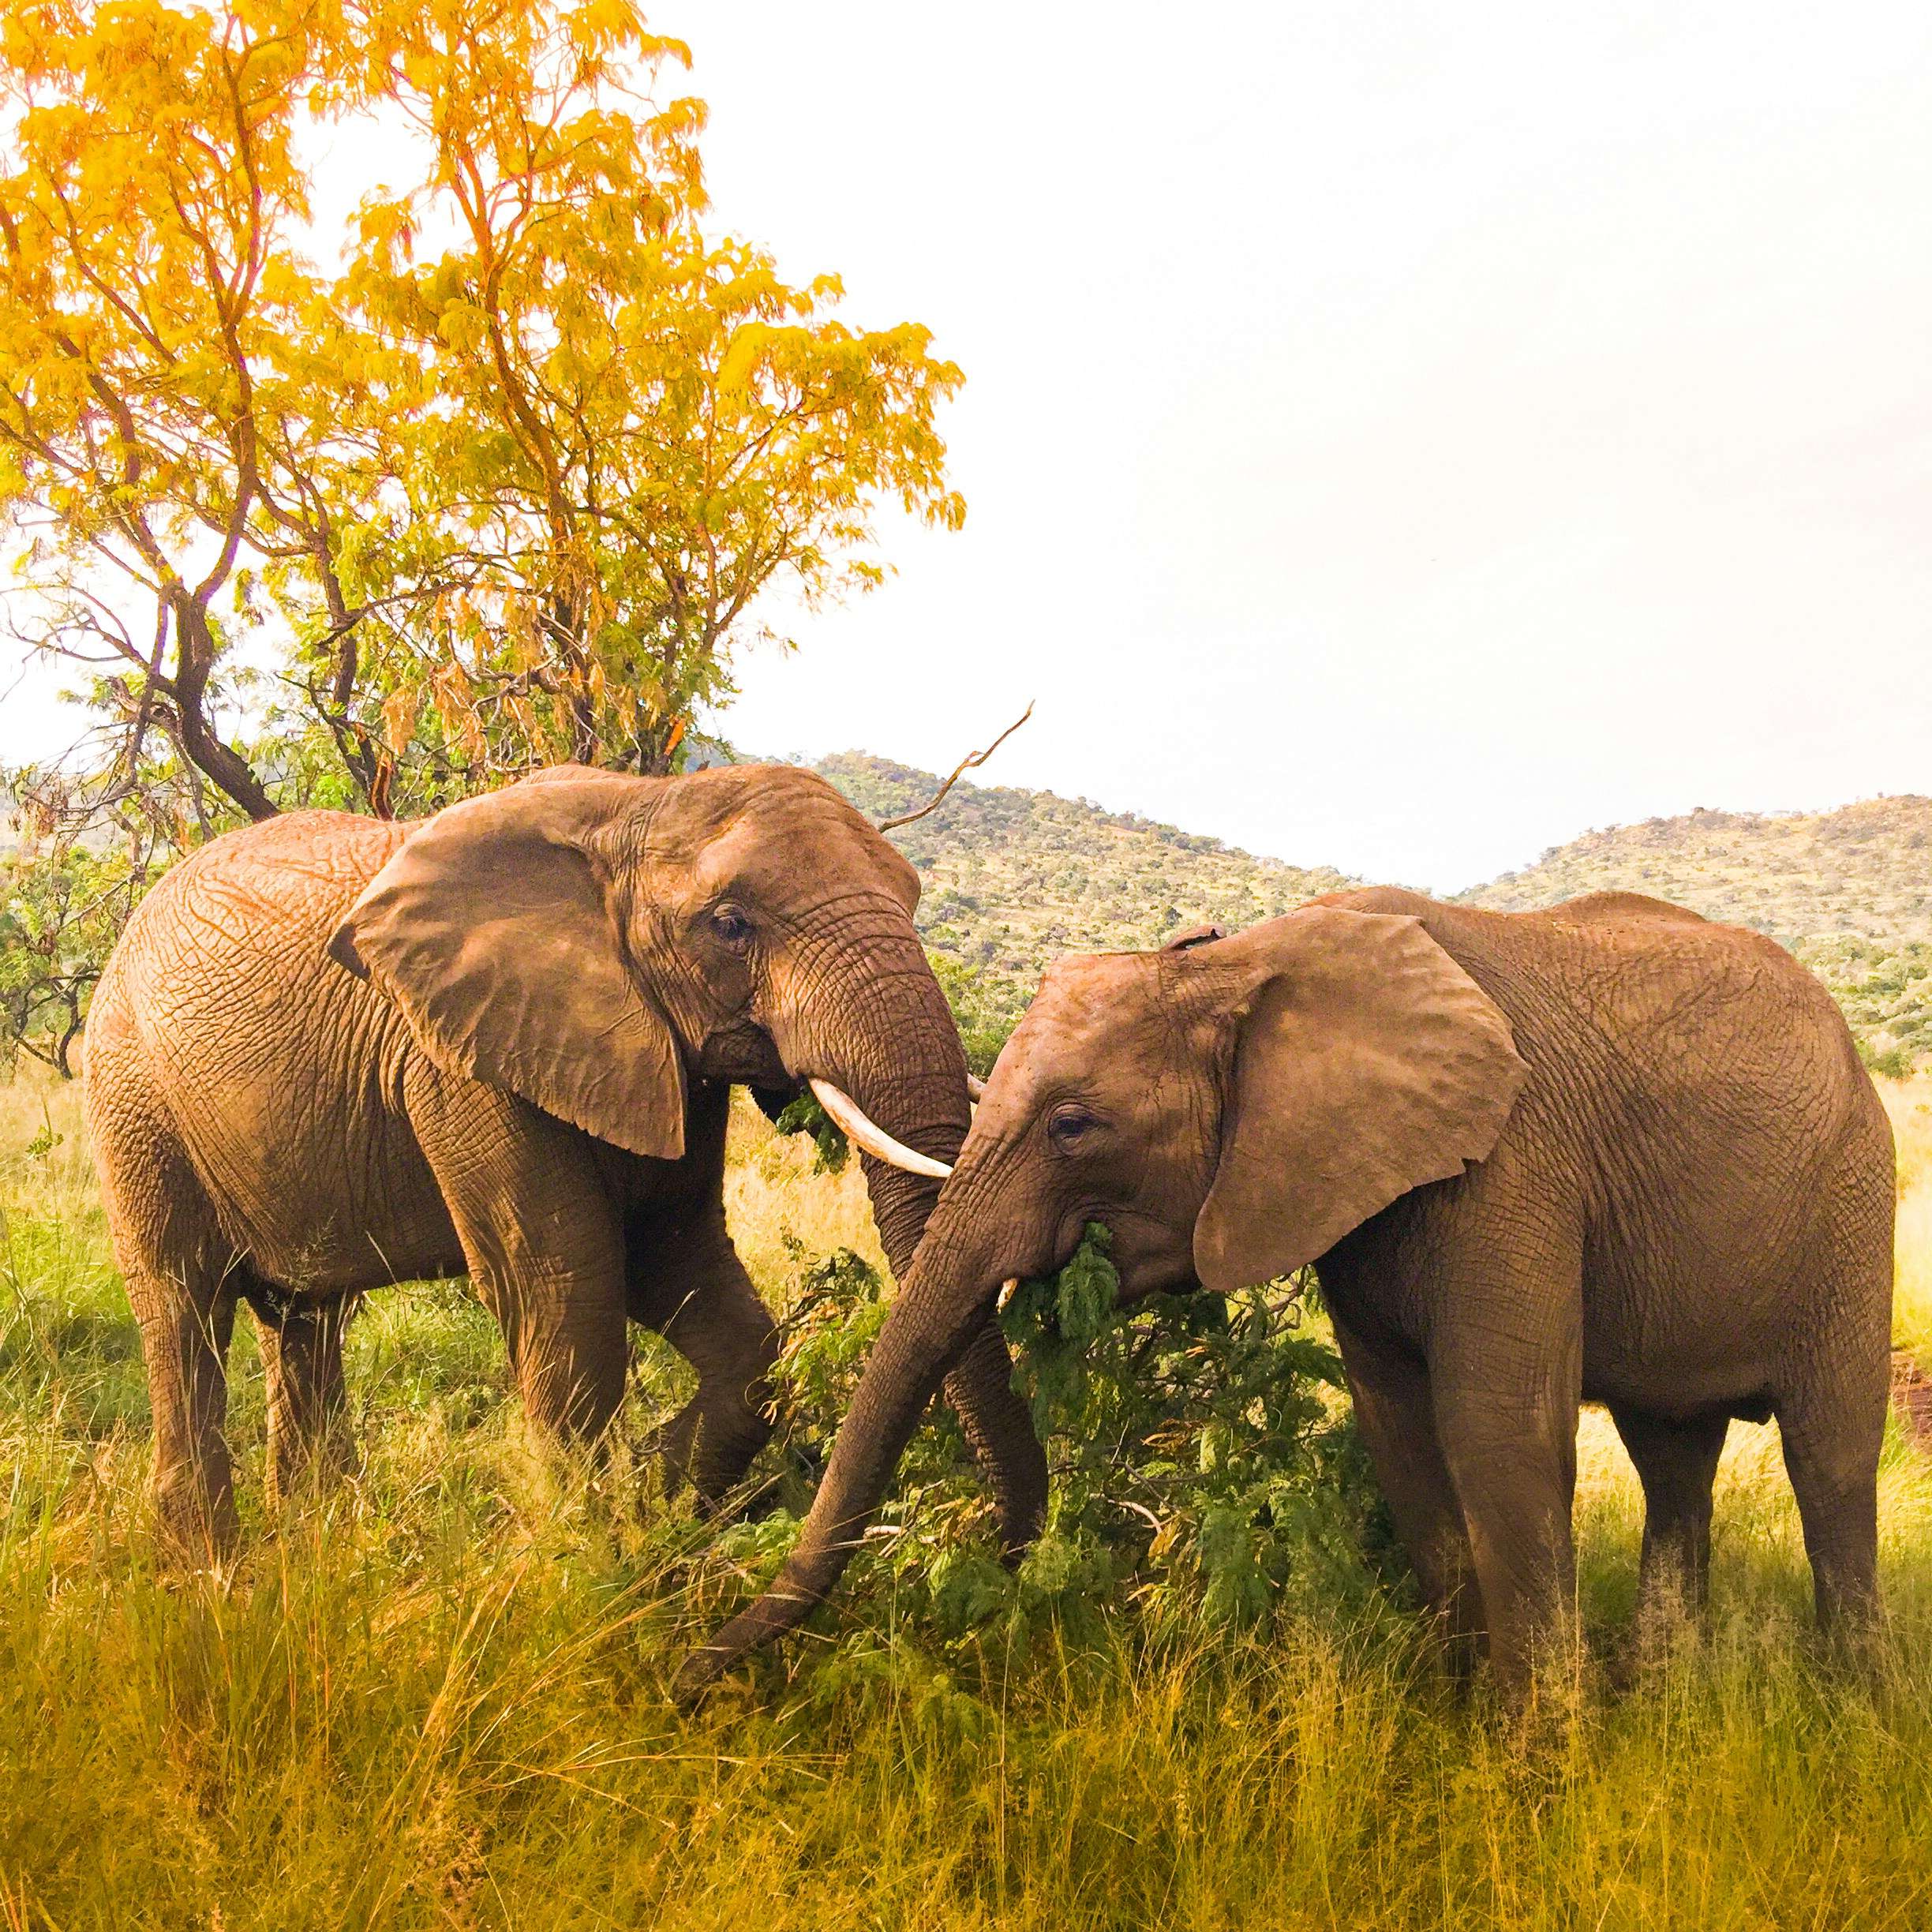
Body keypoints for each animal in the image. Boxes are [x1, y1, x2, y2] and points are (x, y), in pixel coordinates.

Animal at [87, 761, 1058, 1560]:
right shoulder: (461, 1062)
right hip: (132, 1095)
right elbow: (561, 1291)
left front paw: (659, 1493)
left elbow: (694, 1280)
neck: (634, 806)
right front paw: (600, 1564)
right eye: (730, 925)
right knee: (182, 1301)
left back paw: (325, 1545)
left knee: (303, 1315)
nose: (991, 1539)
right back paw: (215, 1575)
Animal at [683, 885, 1900, 1700]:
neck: (1244, 963)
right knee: (1673, 1459)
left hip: (1853, 1205)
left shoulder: (1515, 1166)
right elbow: (1402, 1437)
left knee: (1831, 1458)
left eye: (1075, 1126)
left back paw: (1850, 1719)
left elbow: (1498, 1433)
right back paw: (1664, 1699)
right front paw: (1455, 1725)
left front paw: (1530, 1773)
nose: (684, 1674)